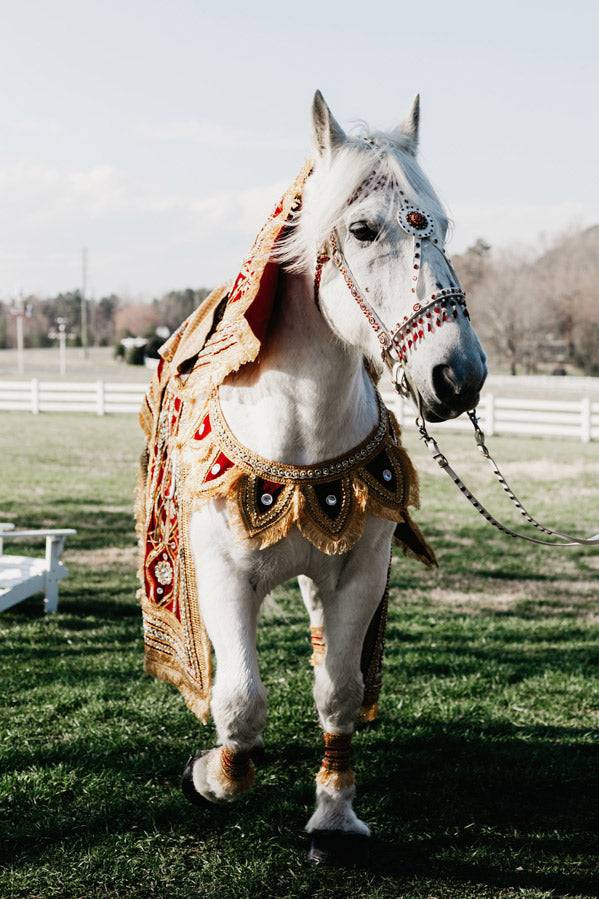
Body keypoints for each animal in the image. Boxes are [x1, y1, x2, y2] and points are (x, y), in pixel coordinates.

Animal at [136, 91, 487, 866]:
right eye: (360, 227)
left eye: (444, 225)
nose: (459, 375)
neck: (298, 432)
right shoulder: (223, 573)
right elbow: (239, 700)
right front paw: (210, 775)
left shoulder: (360, 568)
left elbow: (340, 690)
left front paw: (334, 817)